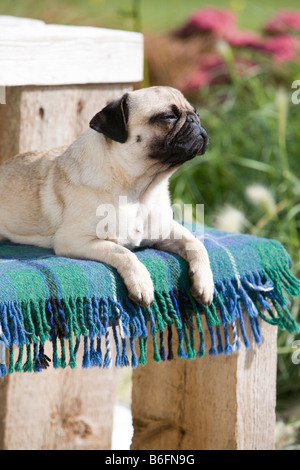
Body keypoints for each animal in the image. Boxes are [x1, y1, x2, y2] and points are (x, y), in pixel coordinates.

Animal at [0, 87, 216, 308]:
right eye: (168, 117)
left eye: (197, 113)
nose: (194, 120)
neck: (139, 191)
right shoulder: (74, 240)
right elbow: (123, 252)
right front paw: (142, 284)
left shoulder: (165, 229)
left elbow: (196, 244)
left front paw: (205, 283)